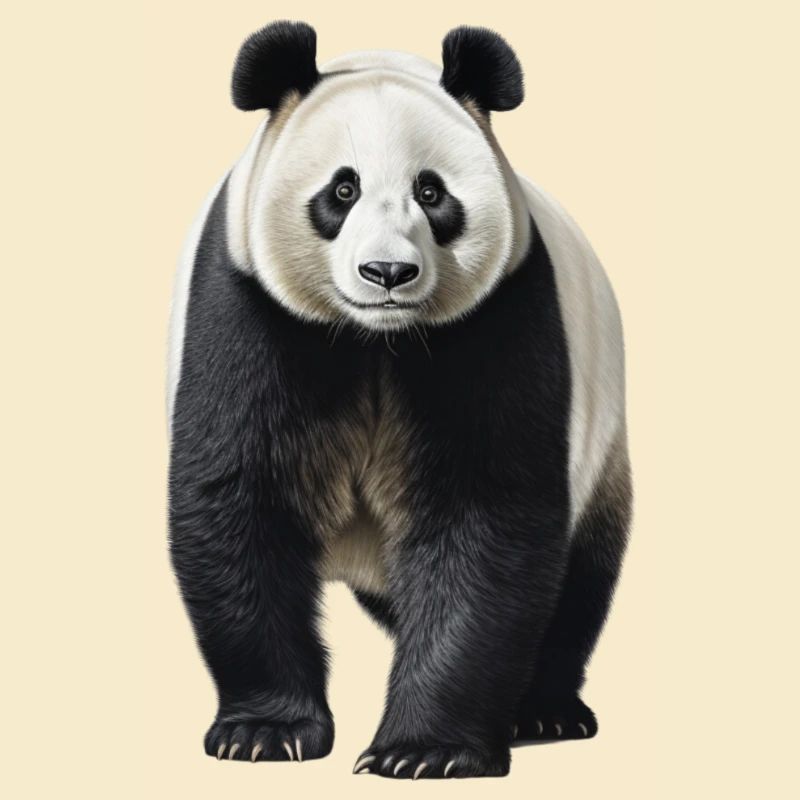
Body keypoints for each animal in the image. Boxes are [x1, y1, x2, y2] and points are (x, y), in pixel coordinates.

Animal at [167, 20, 632, 780]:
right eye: (342, 189)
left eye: (433, 192)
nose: (388, 272)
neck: (375, 339)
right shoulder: (247, 308)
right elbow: (241, 496)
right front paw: (266, 732)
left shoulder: (498, 317)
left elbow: (483, 515)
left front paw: (426, 751)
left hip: (602, 437)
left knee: (579, 579)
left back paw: (543, 710)